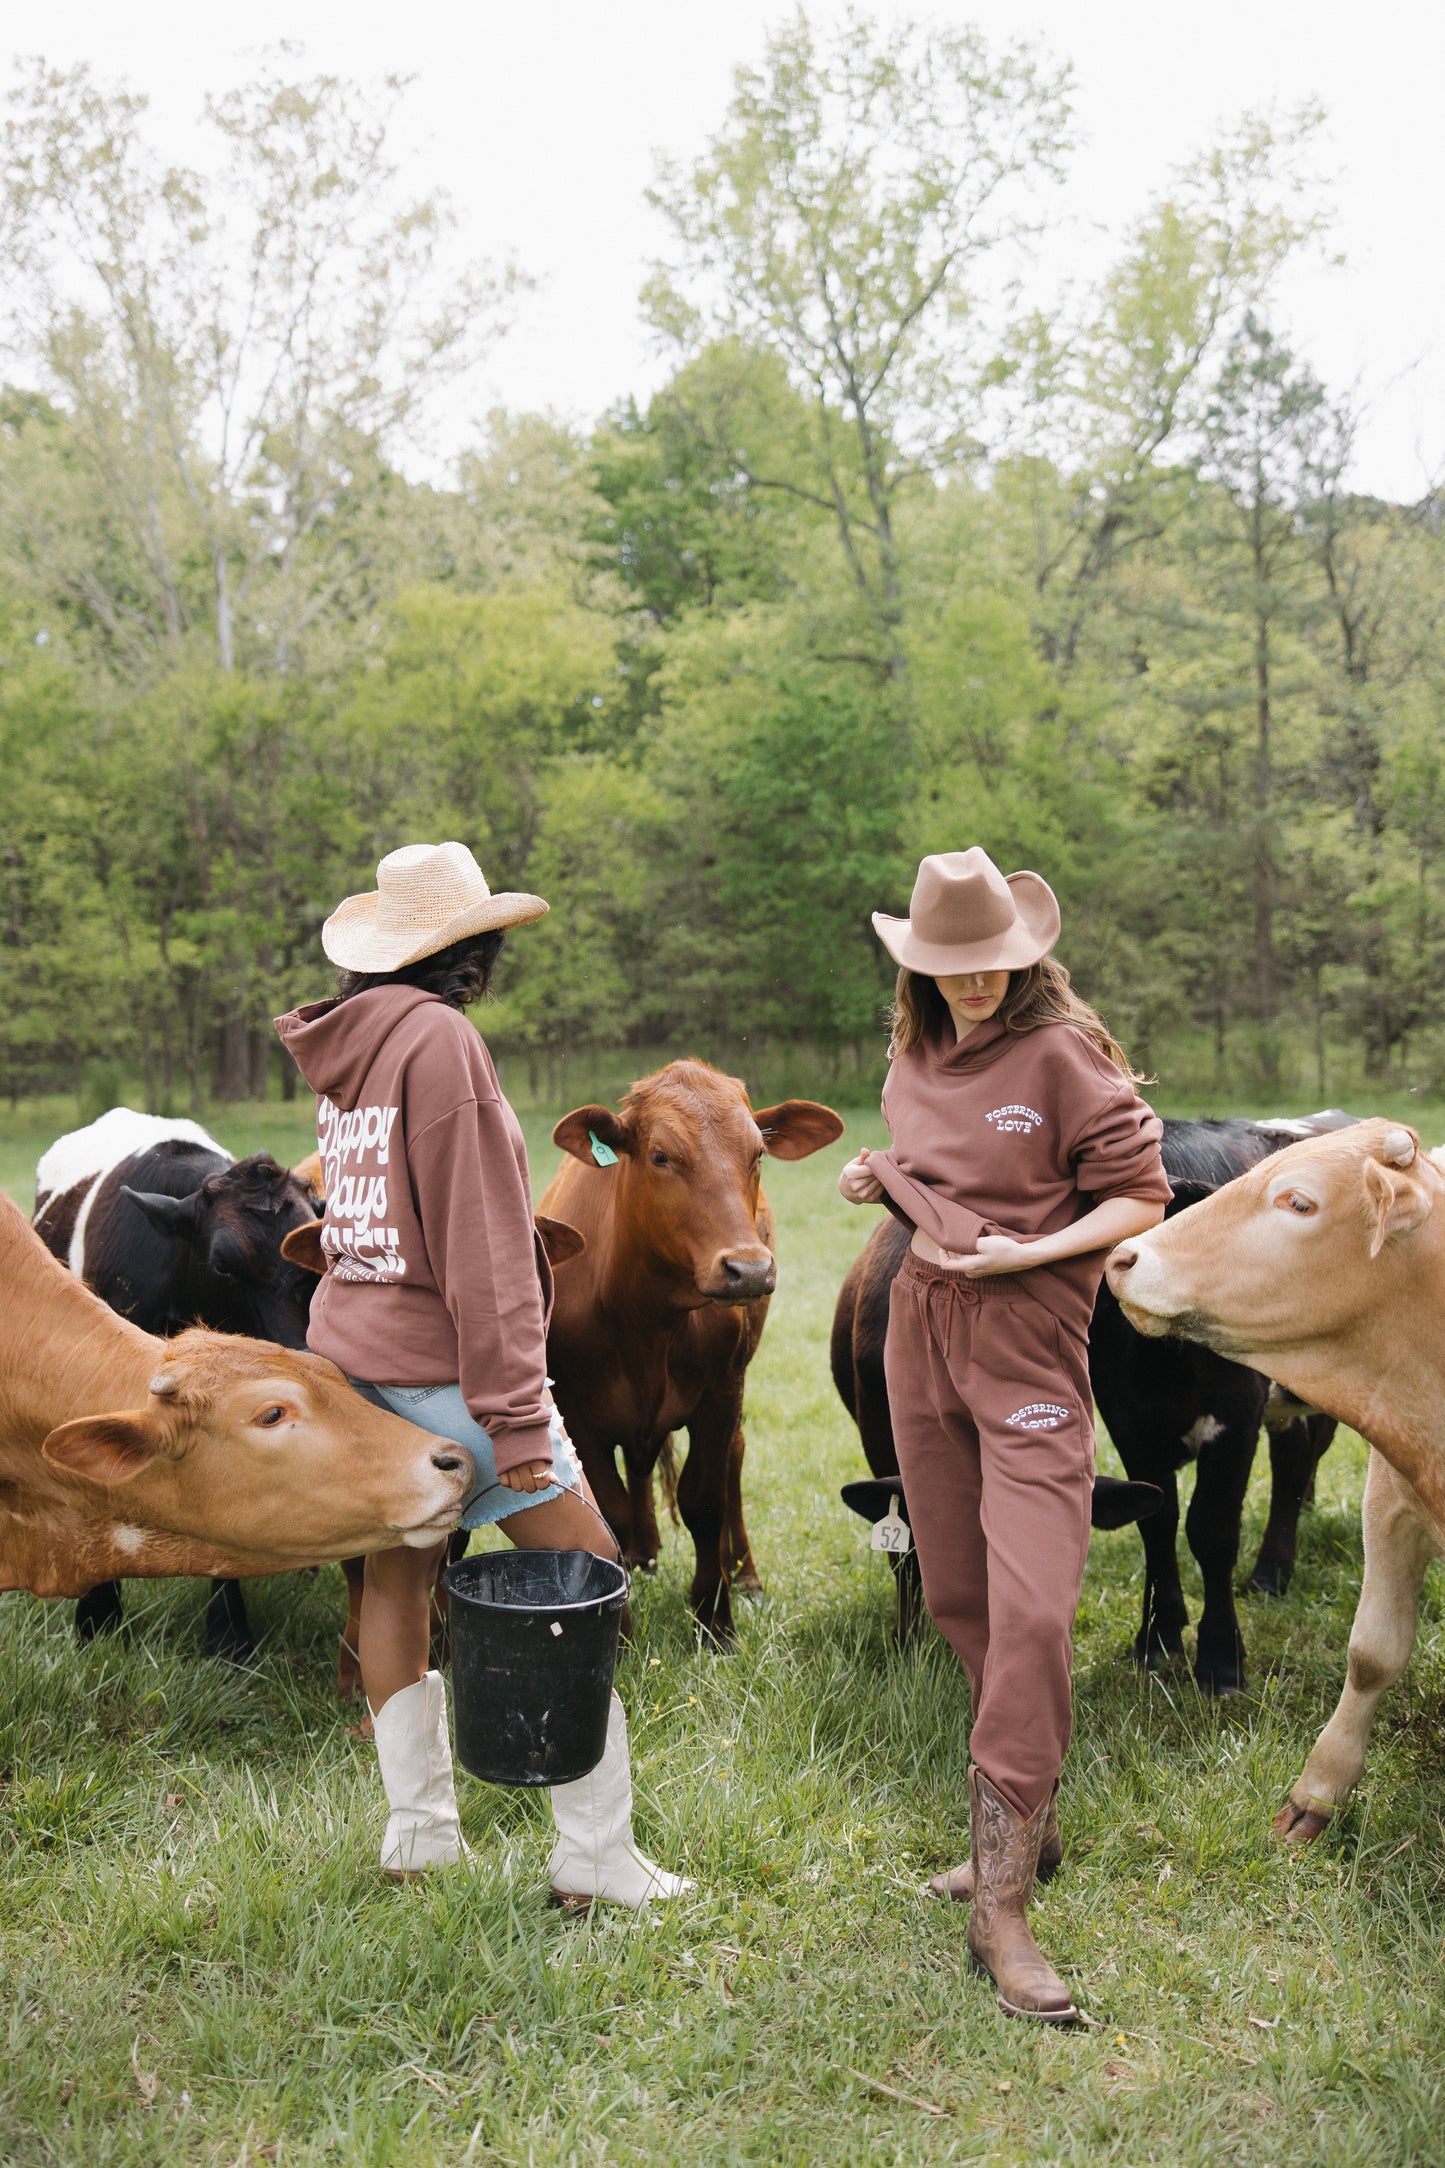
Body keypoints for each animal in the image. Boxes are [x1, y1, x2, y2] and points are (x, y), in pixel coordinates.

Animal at [537, 1057, 840, 1630]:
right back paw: (643, 1551)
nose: (749, 1269)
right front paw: (621, 1625)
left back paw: (744, 1574)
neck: (645, 1321)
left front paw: (715, 1619)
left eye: (758, 1153)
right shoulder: (575, 1408)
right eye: (660, 1156)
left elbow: (705, 1501)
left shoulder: (721, 1392)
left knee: (733, 1462)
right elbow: (609, 1509)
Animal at [831, 1118, 1351, 1691]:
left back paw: (1270, 1573)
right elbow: (1158, 1522)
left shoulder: (1235, 1417)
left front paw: (1220, 1662)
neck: (1161, 1360)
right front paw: (1158, 1637)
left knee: (1296, 1460)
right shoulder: (1130, 1421)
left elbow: (1210, 1530)